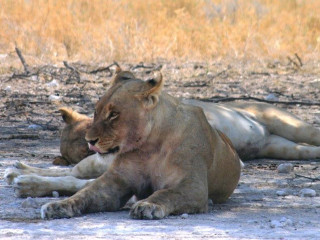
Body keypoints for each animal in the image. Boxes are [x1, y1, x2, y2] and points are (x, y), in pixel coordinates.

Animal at [5, 67, 320, 219]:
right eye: (96, 111)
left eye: (114, 114)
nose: (91, 141)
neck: (148, 145)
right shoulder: (116, 182)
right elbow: (82, 193)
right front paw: (57, 205)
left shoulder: (192, 188)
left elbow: (165, 194)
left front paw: (148, 206)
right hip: (283, 146)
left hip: (289, 125)